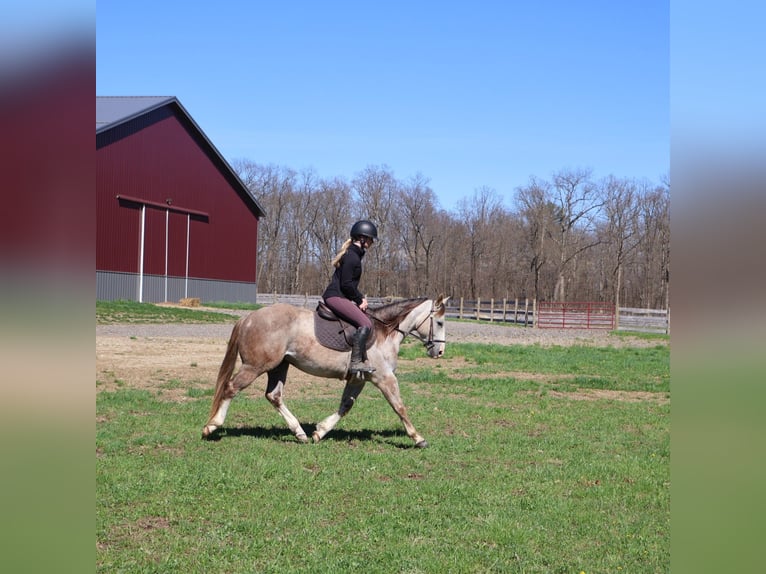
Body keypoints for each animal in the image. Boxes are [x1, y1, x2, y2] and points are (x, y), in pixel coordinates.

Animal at [202, 295, 449, 448]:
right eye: (440, 322)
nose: (439, 352)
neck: (383, 332)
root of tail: (248, 318)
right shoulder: (384, 378)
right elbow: (400, 407)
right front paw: (418, 438)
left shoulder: (359, 378)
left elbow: (345, 405)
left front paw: (319, 432)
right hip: (256, 366)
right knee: (231, 388)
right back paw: (211, 426)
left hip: (279, 366)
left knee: (274, 395)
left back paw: (299, 433)